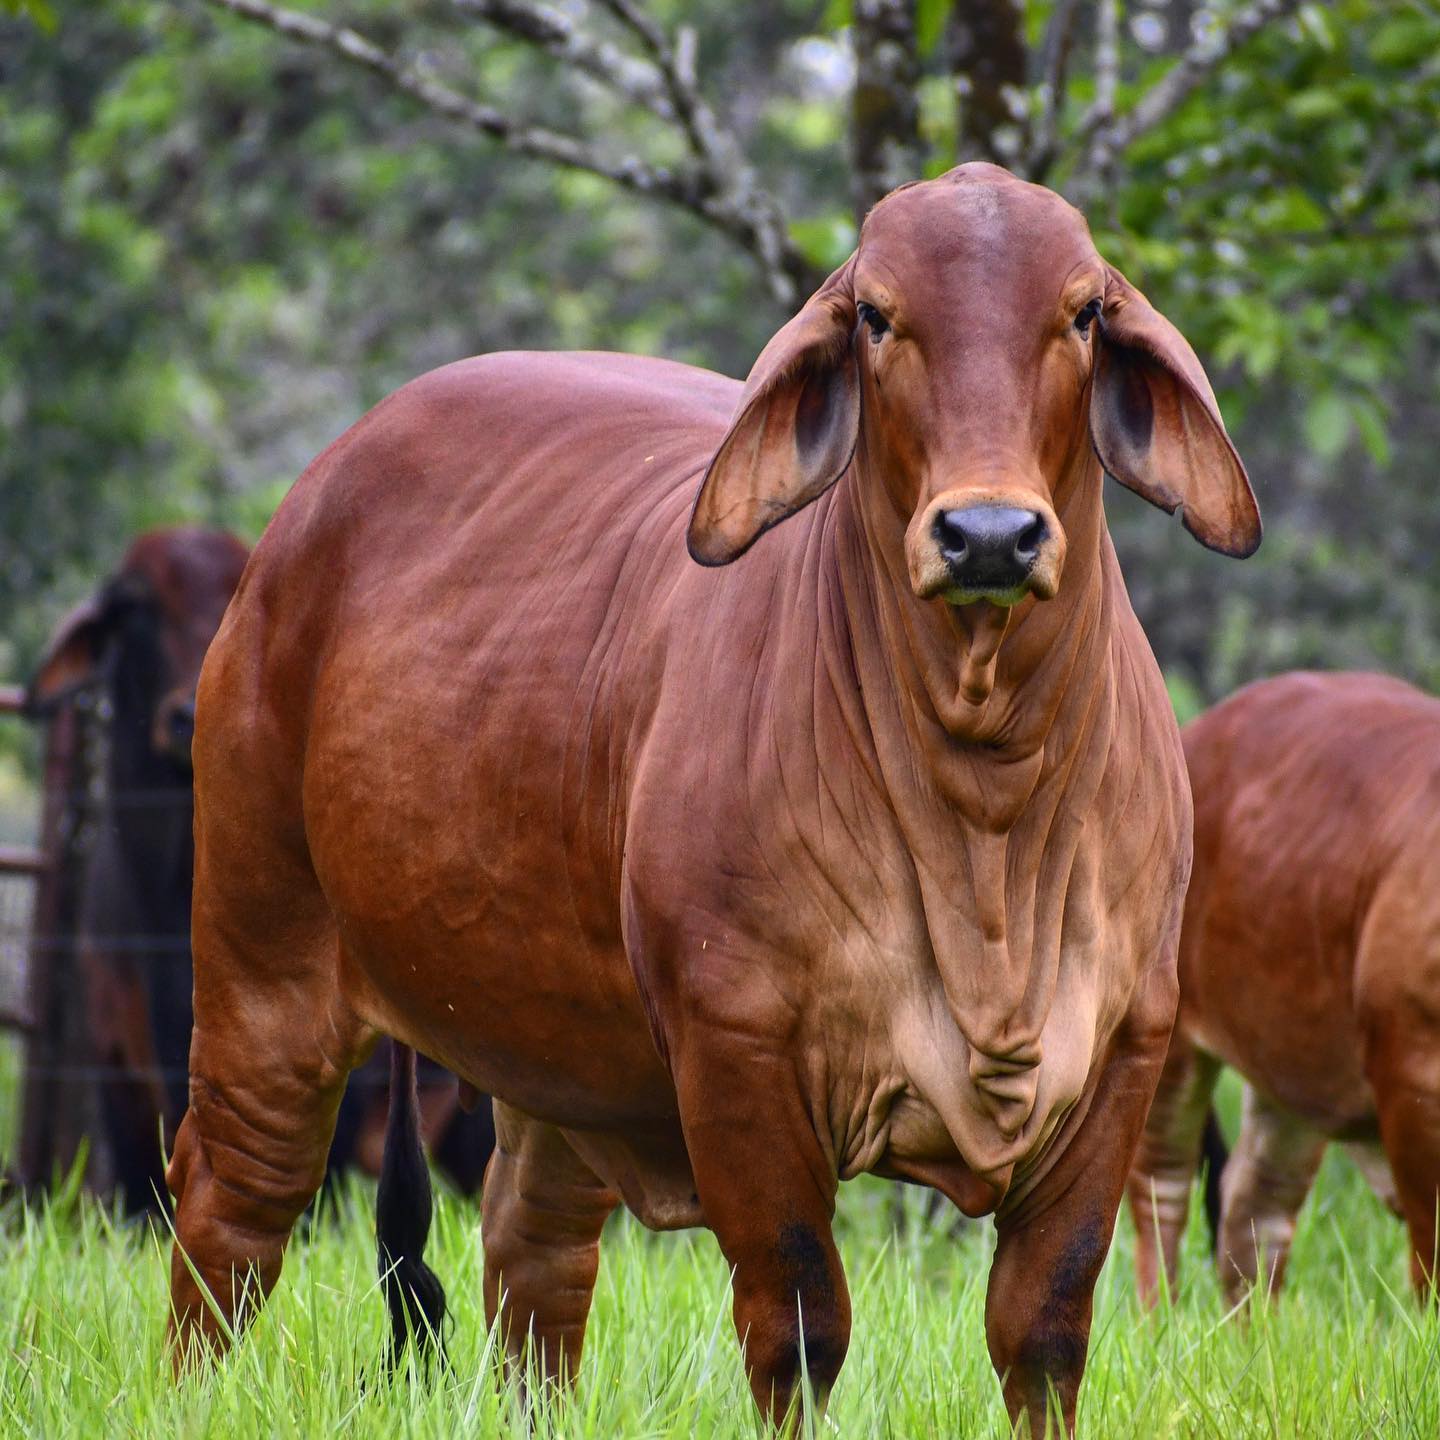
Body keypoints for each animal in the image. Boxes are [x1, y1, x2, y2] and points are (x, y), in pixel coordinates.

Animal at [163, 165, 1255, 1428]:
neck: (987, 797)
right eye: (876, 315)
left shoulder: (1123, 1052)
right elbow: (800, 1326)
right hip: (262, 962)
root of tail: (304, 510)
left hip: (559, 1052)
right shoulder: (739, 1055)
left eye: (1082, 313)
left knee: (533, 1253)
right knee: (231, 1209)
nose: (989, 534)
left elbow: (1044, 1329)